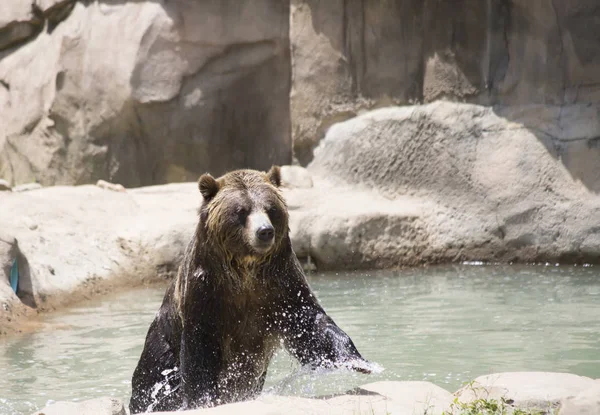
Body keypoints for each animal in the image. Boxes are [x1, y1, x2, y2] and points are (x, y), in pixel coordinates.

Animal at [129, 167, 368, 414]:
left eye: (270, 208)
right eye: (241, 211)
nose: (265, 231)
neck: (245, 271)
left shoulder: (281, 284)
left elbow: (308, 322)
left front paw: (358, 362)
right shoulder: (205, 291)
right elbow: (200, 347)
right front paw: (203, 400)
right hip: (162, 347)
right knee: (154, 379)